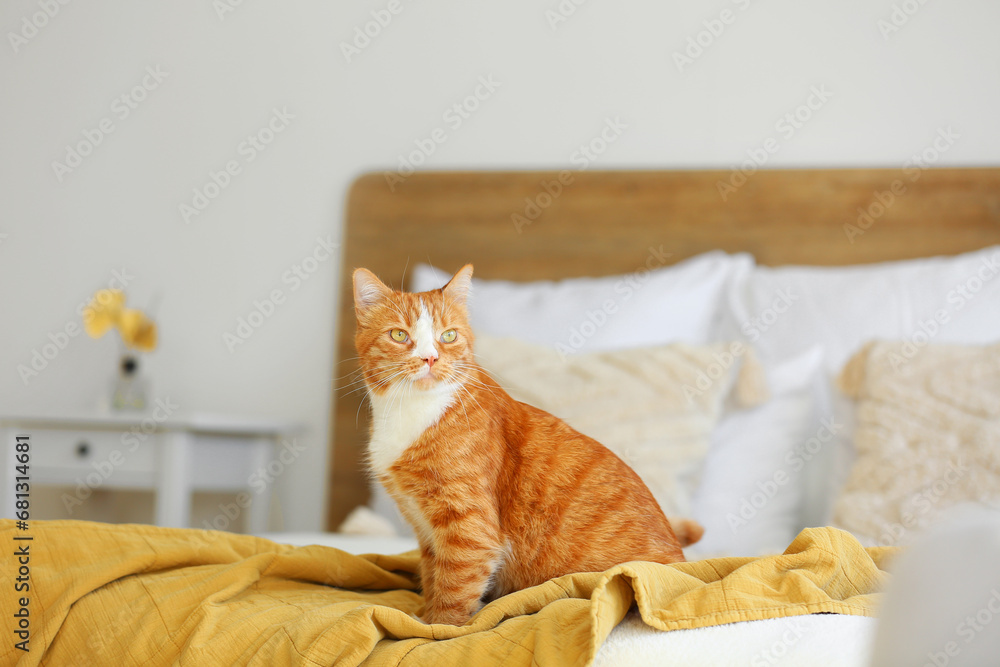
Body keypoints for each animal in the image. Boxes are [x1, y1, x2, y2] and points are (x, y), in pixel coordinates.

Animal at [354, 262, 704, 628]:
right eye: (399, 335)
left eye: (448, 336)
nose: (430, 359)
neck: (411, 412)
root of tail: (683, 563)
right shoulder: (427, 532)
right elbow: (433, 577)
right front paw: (422, 615)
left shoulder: (469, 530)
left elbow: (453, 592)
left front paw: (435, 627)